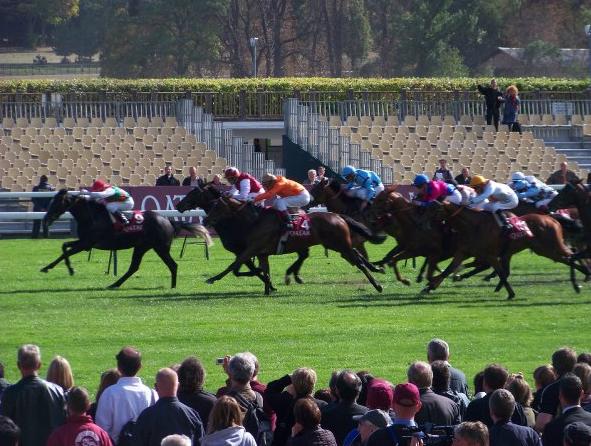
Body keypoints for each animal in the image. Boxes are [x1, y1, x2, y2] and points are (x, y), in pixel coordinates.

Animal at [41, 189, 212, 289]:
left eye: (57, 202)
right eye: (51, 201)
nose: (46, 219)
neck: (92, 216)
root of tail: (168, 220)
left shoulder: (86, 243)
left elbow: (66, 251)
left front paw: (64, 269)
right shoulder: (85, 242)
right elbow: (64, 247)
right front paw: (55, 268)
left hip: (160, 247)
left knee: (173, 265)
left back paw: (173, 287)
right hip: (142, 247)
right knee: (134, 267)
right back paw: (115, 284)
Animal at [202, 196, 384, 294]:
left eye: (217, 206)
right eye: (212, 205)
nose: (205, 220)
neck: (255, 221)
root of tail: (338, 216)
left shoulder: (251, 249)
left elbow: (234, 265)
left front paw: (212, 278)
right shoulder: (261, 253)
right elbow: (264, 270)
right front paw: (268, 289)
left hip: (339, 245)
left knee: (359, 262)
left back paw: (378, 285)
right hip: (339, 246)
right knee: (356, 256)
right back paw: (377, 270)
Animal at [423, 202, 586, 299]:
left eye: (436, 209)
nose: (426, 224)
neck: (474, 226)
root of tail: (551, 218)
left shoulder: (490, 255)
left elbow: (500, 272)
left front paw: (511, 293)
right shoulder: (464, 252)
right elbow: (449, 269)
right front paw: (429, 287)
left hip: (550, 247)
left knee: (572, 255)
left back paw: (581, 280)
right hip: (543, 249)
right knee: (570, 256)